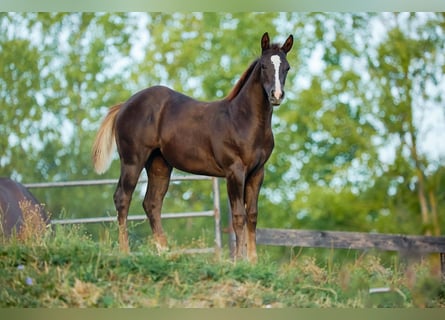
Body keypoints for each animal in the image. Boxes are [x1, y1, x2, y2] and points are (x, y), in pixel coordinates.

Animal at [92, 32, 294, 262]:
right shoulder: (235, 171)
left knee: (152, 203)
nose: (276, 95)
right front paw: (237, 262)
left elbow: (252, 215)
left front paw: (253, 262)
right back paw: (125, 252)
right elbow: (238, 215)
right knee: (122, 198)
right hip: (132, 161)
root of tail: (125, 105)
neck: (243, 120)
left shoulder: (257, 172)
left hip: (159, 165)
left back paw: (165, 252)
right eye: (263, 66)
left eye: (287, 67)